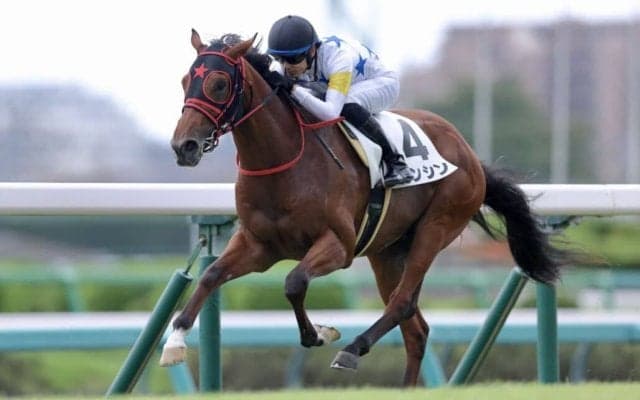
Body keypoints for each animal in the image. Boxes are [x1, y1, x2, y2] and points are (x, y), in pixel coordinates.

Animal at [162, 30, 575, 386]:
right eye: (184, 81)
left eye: (218, 83)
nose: (184, 146)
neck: (285, 160)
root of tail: (471, 155)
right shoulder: (258, 246)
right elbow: (211, 275)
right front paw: (175, 340)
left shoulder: (339, 245)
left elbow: (294, 282)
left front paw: (320, 333)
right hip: (387, 252)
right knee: (416, 330)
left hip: (437, 226)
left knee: (402, 303)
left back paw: (352, 348)